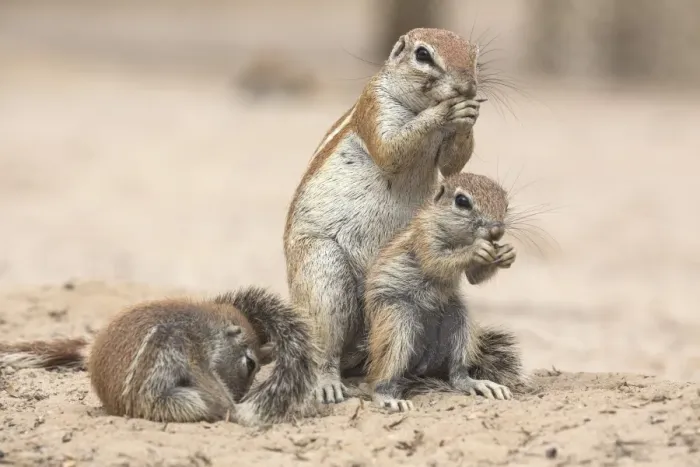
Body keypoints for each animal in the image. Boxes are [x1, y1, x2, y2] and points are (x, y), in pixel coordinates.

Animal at [0, 286, 318, 425]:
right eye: (250, 364)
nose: (240, 396)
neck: (210, 325)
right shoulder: (192, 351)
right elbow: (207, 380)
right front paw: (233, 409)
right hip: (167, 399)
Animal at [283, 27, 485, 404]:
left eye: (474, 56)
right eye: (423, 55)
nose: (467, 87)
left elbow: (454, 163)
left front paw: (469, 114)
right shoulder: (375, 107)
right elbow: (392, 149)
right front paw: (446, 109)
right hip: (323, 273)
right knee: (324, 346)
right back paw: (327, 383)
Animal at [362, 172, 525, 412]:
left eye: (506, 202)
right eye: (462, 201)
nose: (497, 231)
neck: (459, 238)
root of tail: (422, 365)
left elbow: (474, 278)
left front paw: (507, 253)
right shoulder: (425, 238)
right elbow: (437, 263)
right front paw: (474, 250)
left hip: (458, 320)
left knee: (456, 373)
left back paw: (478, 384)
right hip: (396, 321)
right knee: (378, 375)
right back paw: (387, 397)